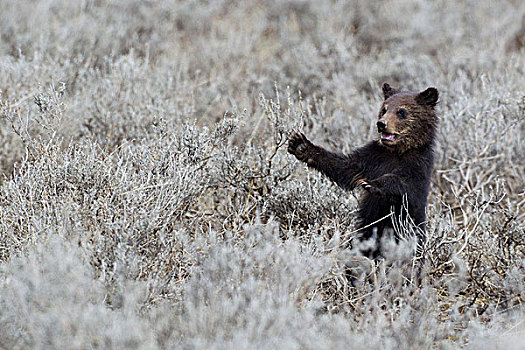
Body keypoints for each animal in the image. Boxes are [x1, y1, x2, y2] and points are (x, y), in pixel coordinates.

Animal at [286, 82, 438, 258]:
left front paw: (373, 184)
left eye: (401, 111)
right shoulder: (372, 157)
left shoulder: (419, 165)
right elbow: (345, 166)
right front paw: (301, 145)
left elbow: (406, 184)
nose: (381, 124)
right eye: (384, 109)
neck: (397, 151)